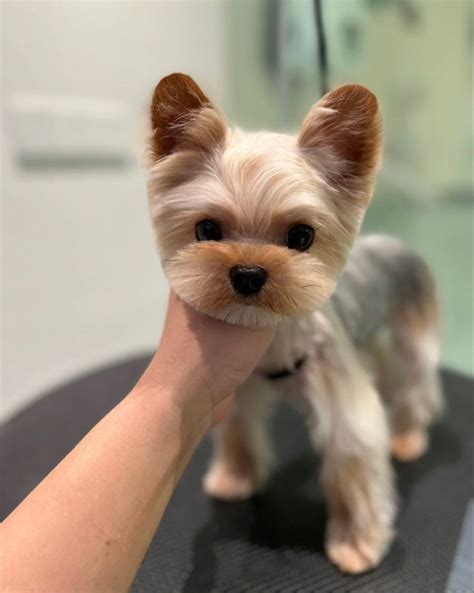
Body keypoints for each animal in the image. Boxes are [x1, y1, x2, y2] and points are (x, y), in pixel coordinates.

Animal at [146, 71, 442, 572]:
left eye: (301, 236)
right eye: (207, 230)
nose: (247, 272)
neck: (272, 341)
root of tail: (396, 241)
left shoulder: (344, 406)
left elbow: (353, 468)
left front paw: (357, 543)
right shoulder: (238, 387)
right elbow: (240, 429)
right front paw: (235, 478)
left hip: (414, 333)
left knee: (416, 384)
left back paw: (407, 437)